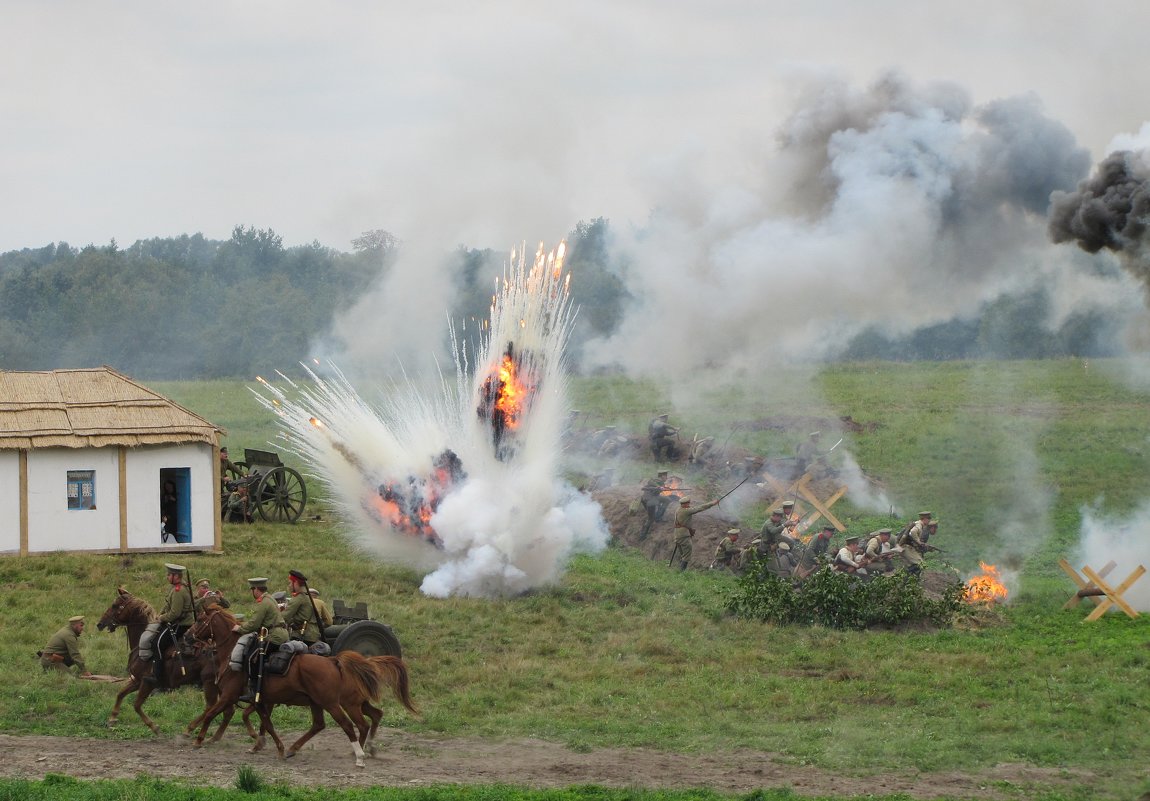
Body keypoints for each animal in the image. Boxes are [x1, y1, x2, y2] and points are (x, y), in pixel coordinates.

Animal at [96, 583, 249, 740]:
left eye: (115, 605)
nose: (100, 624)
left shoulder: (148, 682)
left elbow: (137, 705)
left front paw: (155, 727)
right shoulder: (137, 680)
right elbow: (121, 693)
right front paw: (112, 719)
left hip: (209, 682)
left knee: (212, 706)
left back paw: (190, 729)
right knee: (227, 710)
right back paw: (214, 737)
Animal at [188, 602, 418, 767]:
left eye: (200, 619)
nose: (187, 637)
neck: (233, 653)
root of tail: (334, 661)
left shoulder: (230, 696)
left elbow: (211, 713)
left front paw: (198, 738)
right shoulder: (262, 701)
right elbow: (265, 723)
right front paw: (270, 746)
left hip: (335, 704)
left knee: (350, 725)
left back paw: (359, 756)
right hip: (331, 703)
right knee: (338, 722)